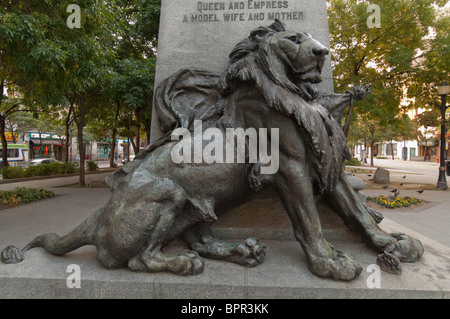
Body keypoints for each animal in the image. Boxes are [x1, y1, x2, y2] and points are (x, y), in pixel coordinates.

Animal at [1, 20, 422, 282]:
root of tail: (97, 219)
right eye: (294, 39)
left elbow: (356, 211)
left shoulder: (324, 160)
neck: (291, 95)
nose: (322, 52)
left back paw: (241, 251)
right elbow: (309, 221)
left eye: (311, 37)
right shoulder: (291, 165)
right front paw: (329, 262)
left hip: (196, 205)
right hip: (168, 192)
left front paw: (391, 244)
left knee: (200, 238)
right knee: (138, 259)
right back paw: (183, 263)